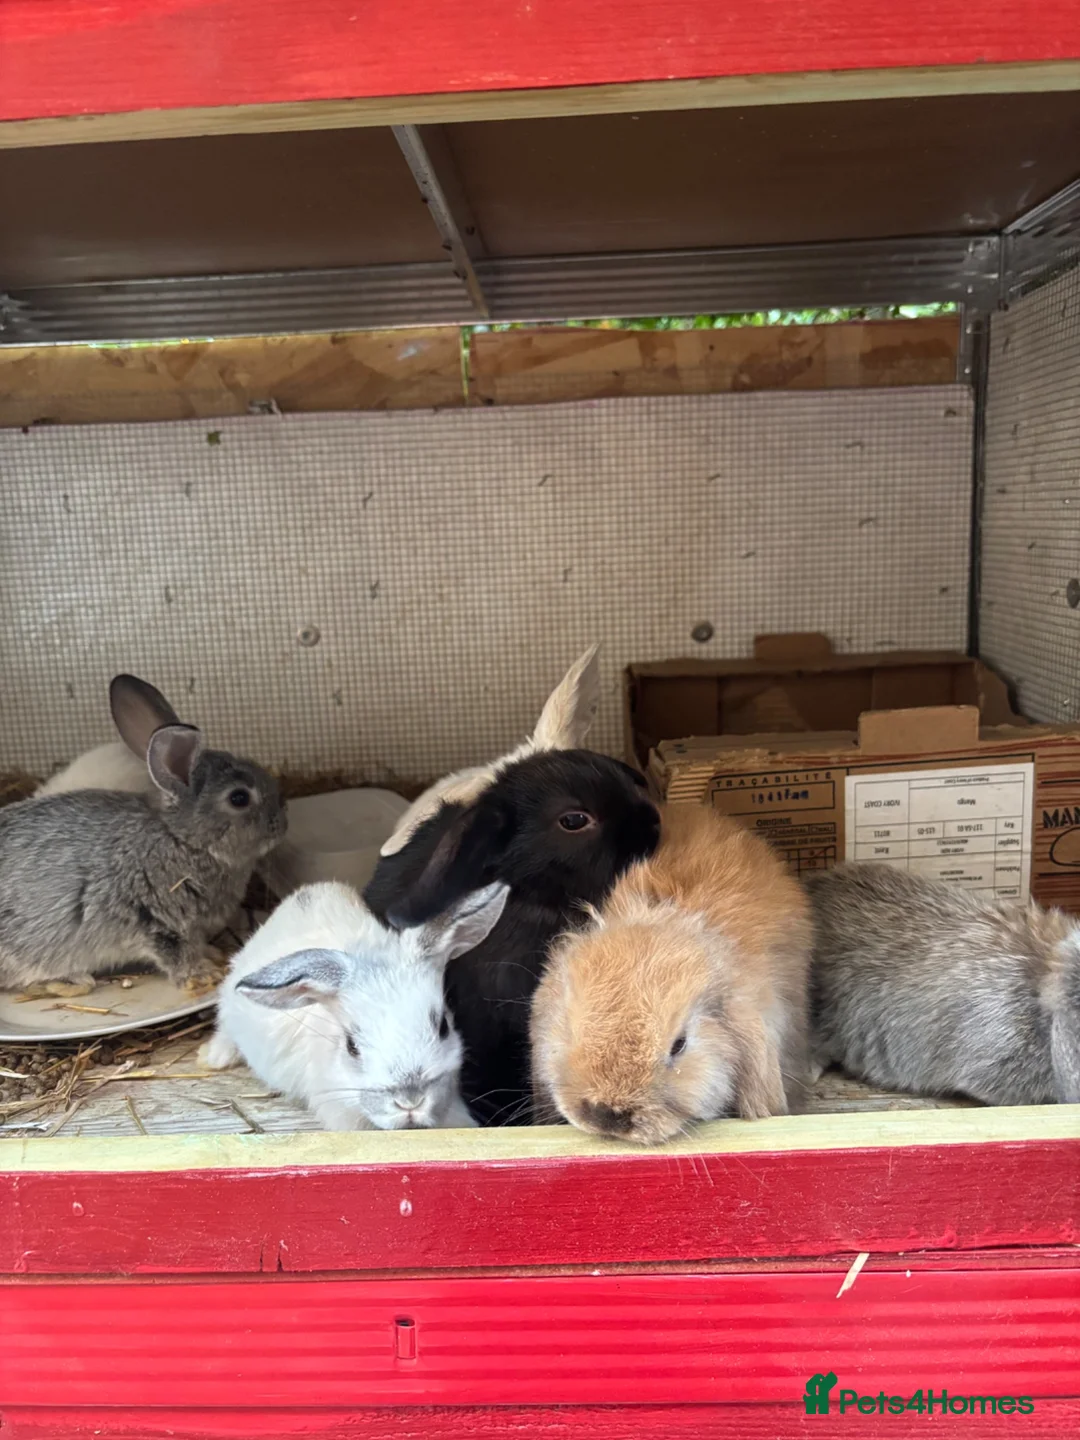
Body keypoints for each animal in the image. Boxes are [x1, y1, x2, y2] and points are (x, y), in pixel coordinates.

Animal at [0, 721, 285, 992]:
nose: (282, 823)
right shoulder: (157, 921)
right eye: (239, 797)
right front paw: (202, 975)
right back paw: (73, 981)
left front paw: (213, 955)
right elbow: (176, 954)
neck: (181, 839)